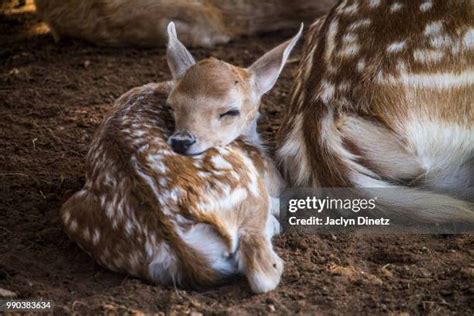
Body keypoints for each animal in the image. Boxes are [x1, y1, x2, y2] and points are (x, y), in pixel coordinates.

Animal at [61, 22, 302, 294]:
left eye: (231, 111)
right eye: (172, 106)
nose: (181, 140)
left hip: (72, 213)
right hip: (248, 185)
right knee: (264, 270)